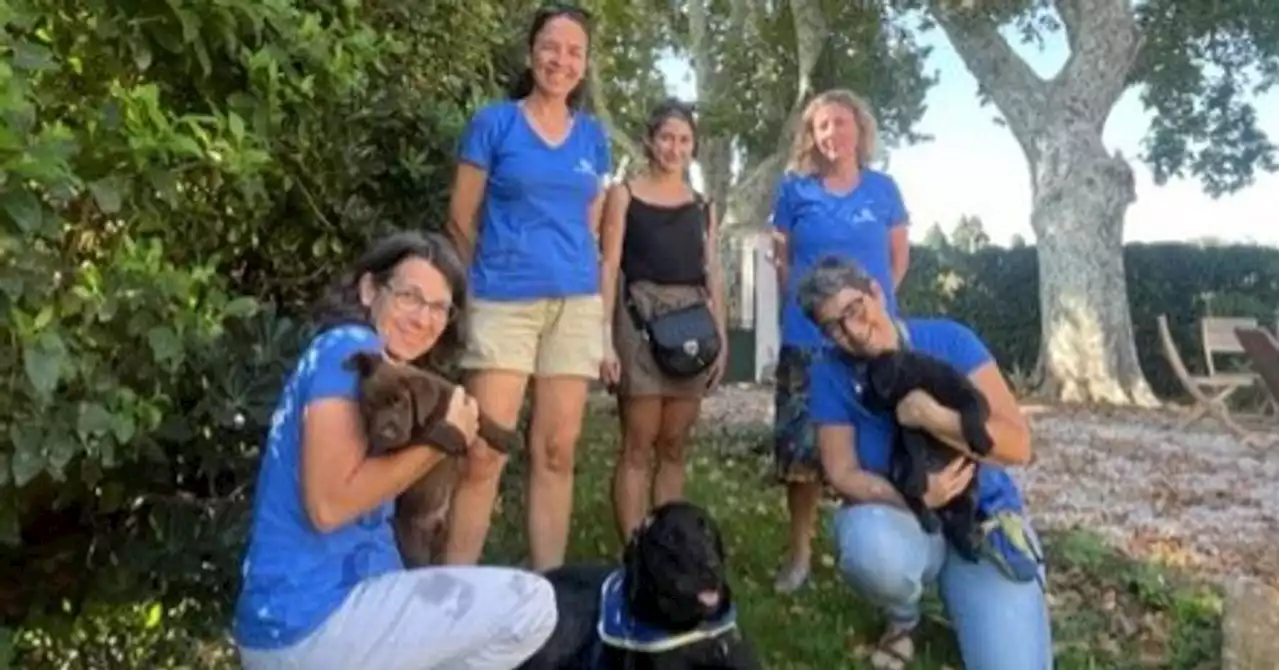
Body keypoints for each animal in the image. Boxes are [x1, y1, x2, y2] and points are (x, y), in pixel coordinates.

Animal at [348, 351, 522, 566]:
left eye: (399, 401)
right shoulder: (398, 444)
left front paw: (506, 437)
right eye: (369, 407)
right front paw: (453, 435)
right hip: (411, 541)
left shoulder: (453, 394)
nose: (385, 434)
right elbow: (423, 432)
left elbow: (482, 416)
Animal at [860, 345, 998, 561]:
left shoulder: (969, 394)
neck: (916, 380)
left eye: (869, 383)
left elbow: (971, 410)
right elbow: (915, 450)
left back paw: (968, 543)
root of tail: (945, 509)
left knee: (964, 520)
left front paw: (981, 439)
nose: (861, 400)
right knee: (912, 497)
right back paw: (929, 518)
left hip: (971, 488)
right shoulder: (909, 423)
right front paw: (918, 478)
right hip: (898, 467)